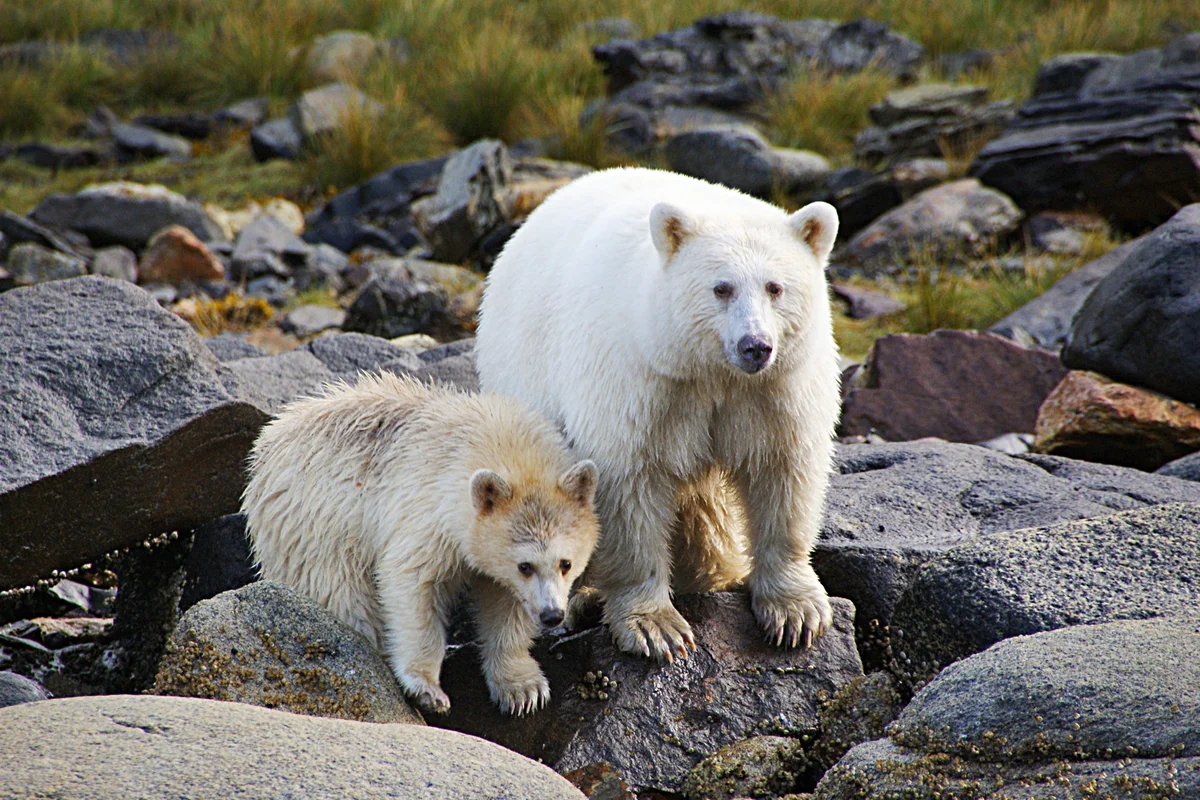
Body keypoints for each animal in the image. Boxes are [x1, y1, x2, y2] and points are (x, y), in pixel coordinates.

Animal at [243, 371, 600, 714]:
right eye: (524, 566)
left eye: (565, 563)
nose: (552, 615)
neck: (492, 439)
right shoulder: (427, 511)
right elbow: (414, 584)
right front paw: (426, 688)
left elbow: (506, 603)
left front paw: (523, 689)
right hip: (315, 526)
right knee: (342, 594)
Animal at [472, 165, 840, 662]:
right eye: (721, 288)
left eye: (775, 287)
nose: (755, 345)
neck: (710, 370)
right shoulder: (642, 382)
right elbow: (629, 483)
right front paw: (655, 626)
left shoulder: (775, 390)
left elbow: (785, 471)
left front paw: (796, 612)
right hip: (524, 375)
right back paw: (583, 598)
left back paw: (715, 569)